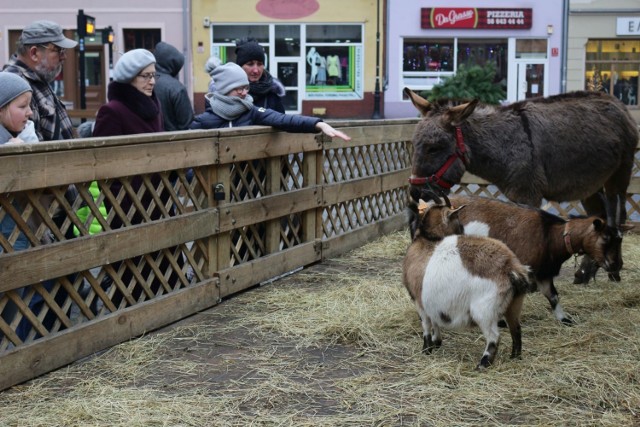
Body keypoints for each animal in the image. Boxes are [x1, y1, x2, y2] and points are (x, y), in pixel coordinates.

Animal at [402, 199, 532, 370]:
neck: (427, 240)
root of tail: (511, 268)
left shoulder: (420, 302)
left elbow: (427, 325)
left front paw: (426, 349)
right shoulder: (431, 303)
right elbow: (435, 321)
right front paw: (436, 343)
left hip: (484, 309)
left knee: (494, 337)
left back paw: (483, 364)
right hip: (514, 304)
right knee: (516, 329)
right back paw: (515, 357)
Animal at [442, 194, 632, 324]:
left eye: (620, 238)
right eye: (606, 237)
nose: (616, 264)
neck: (550, 234)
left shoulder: (544, 272)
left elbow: (553, 296)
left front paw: (565, 319)